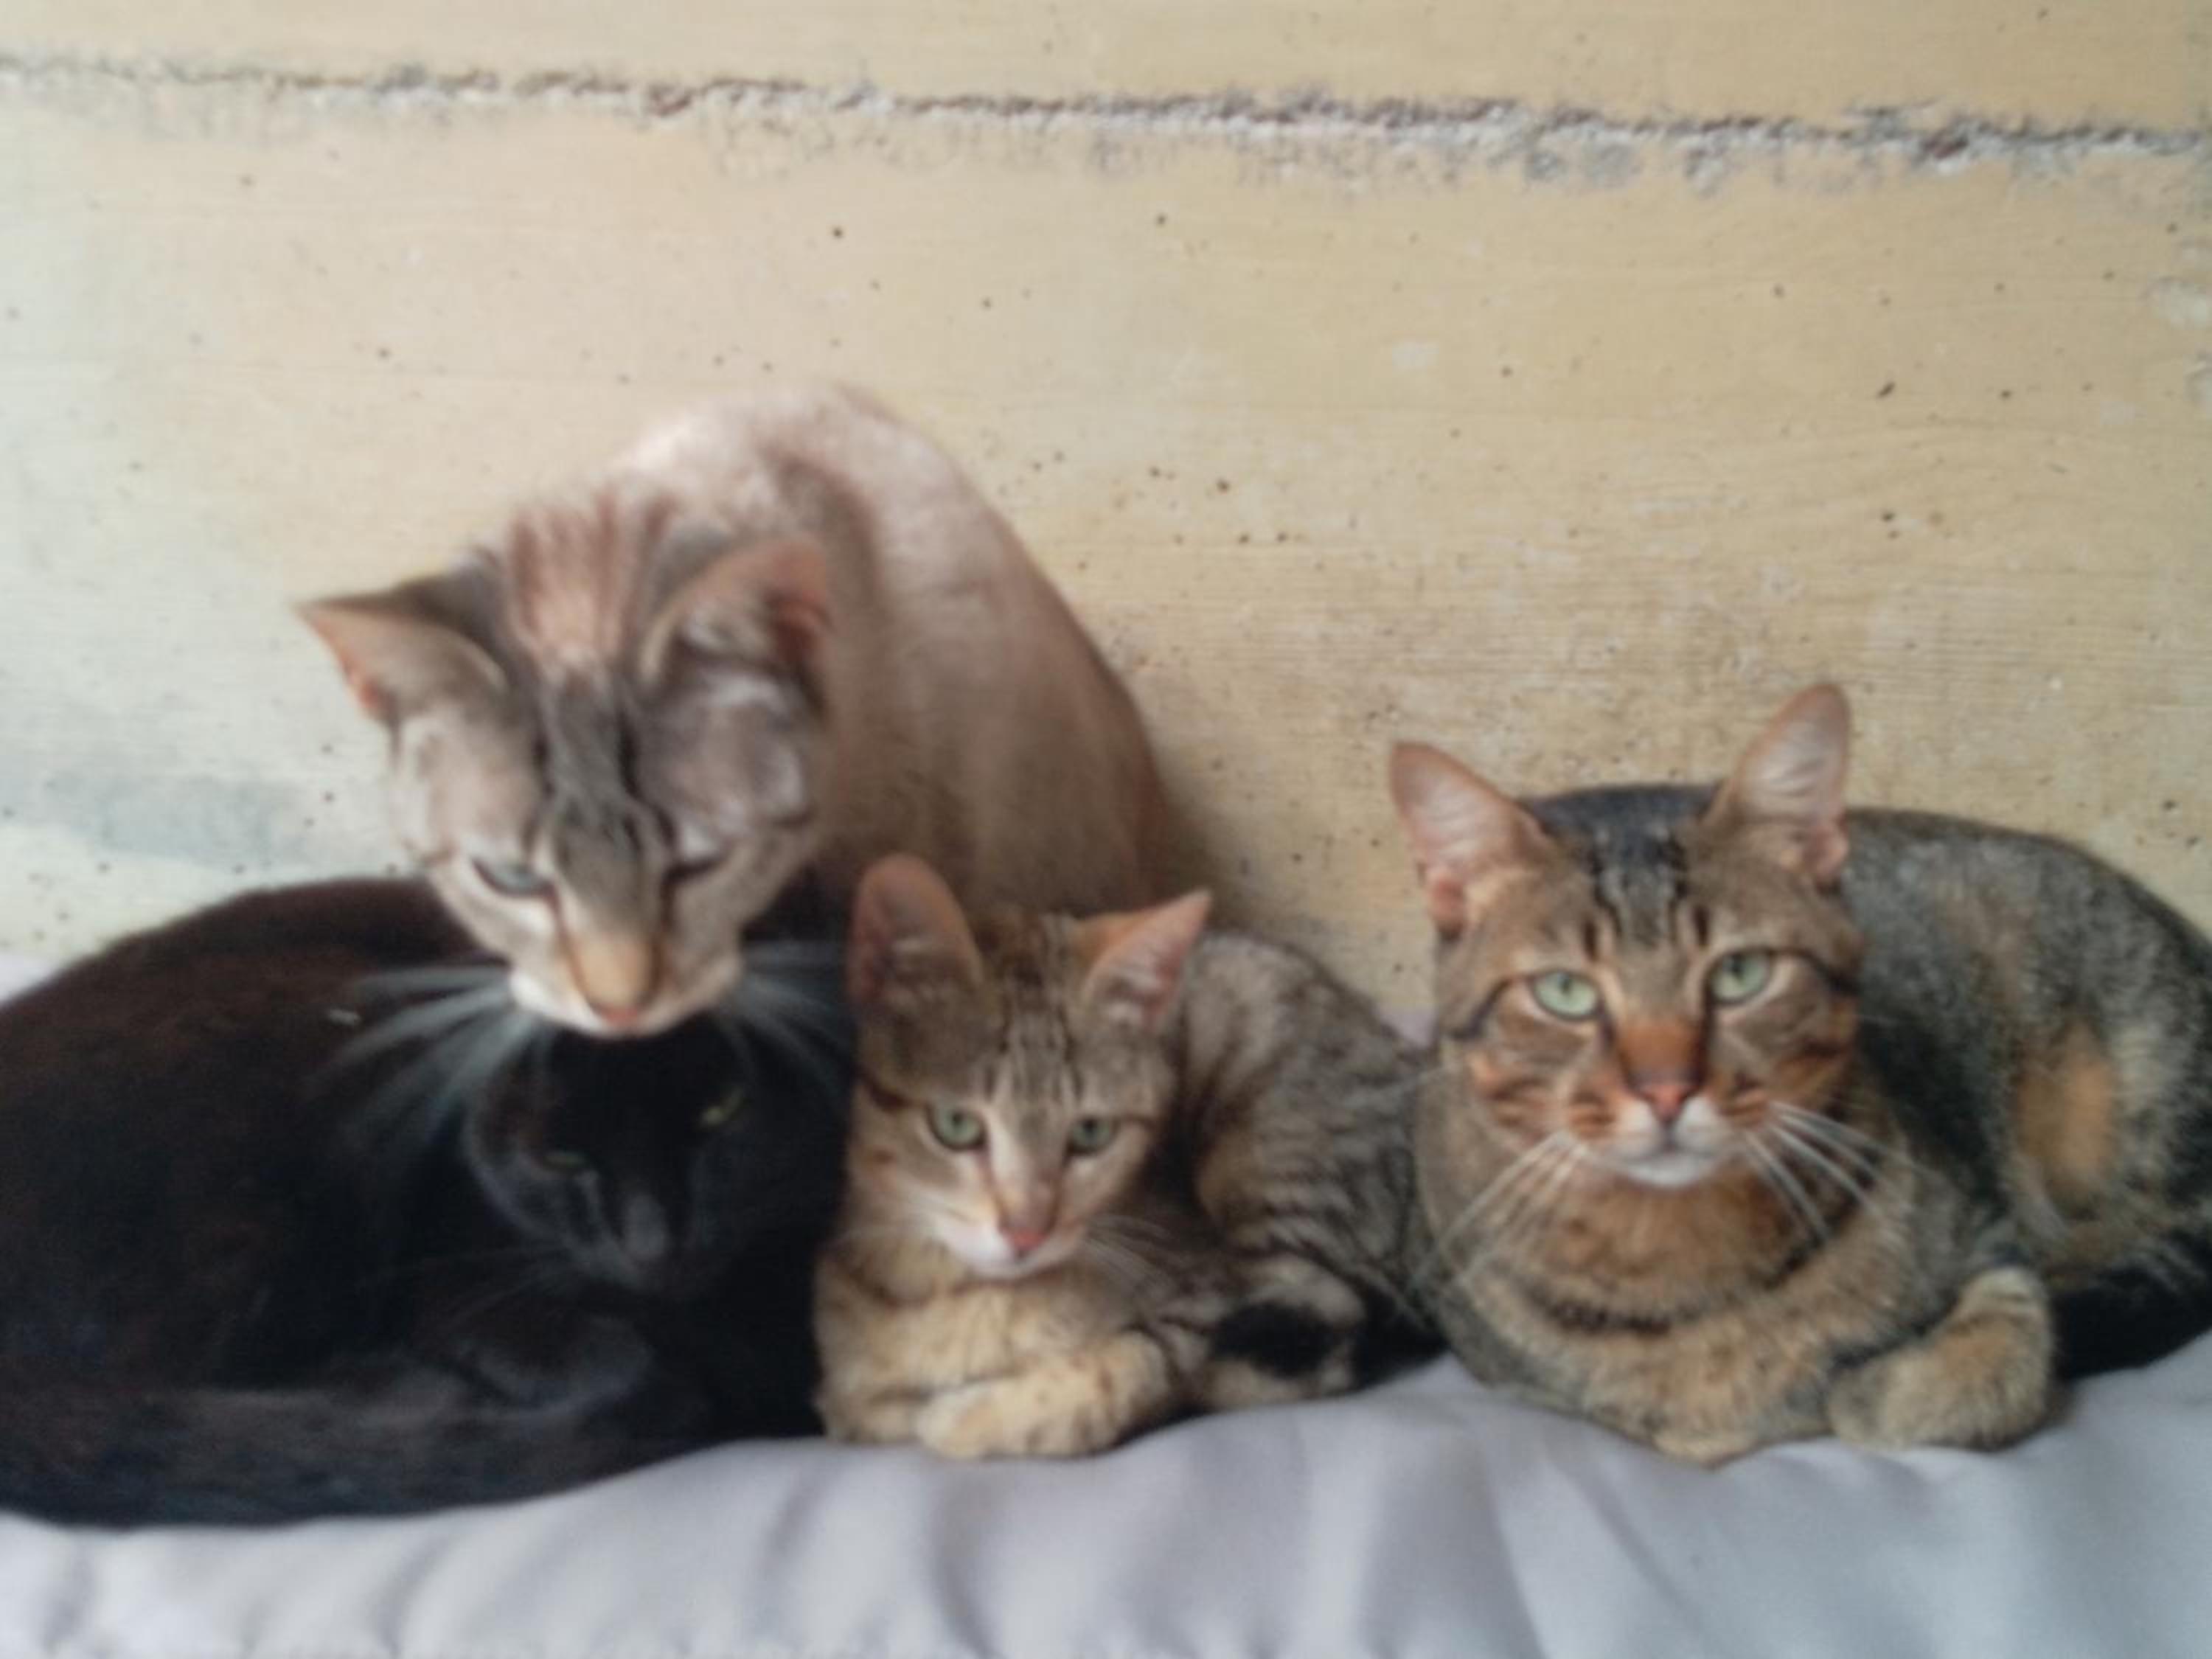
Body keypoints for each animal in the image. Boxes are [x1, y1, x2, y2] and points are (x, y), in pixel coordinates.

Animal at [813, 855, 1431, 1460]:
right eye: (956, 1125)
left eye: (1091, 1133)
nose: (1026, 1231)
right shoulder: (848, 1389)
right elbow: (866, 1407)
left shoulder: (1199, 1296)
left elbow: (1134, 1369)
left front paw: (969, 1417)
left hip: (1274, 1158)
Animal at [1389, 683, 2212, 1464]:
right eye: (1565, 992)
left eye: (1740, 974)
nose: (1666, 1089)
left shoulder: (1985, 1228)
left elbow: (2005, 1348)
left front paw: (1876, 1389)